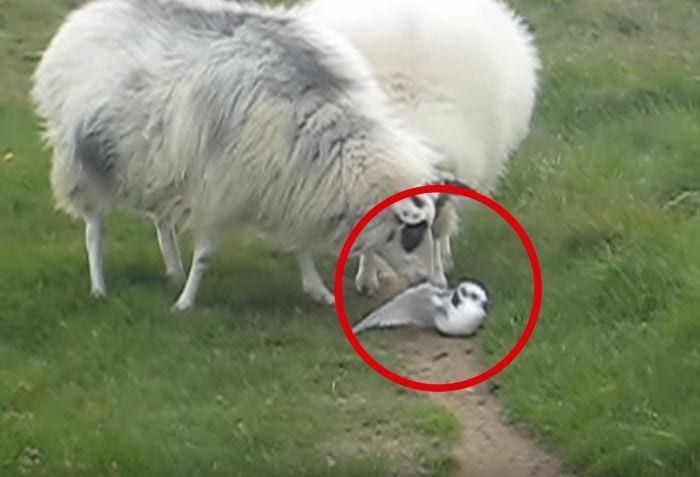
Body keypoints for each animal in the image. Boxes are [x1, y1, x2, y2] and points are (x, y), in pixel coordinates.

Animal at [31, 0, 449, 310]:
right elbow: (206, 253)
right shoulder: (222, 186)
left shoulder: (287, 183)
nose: (430, 284)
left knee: (161, 220)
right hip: (85, 160)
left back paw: (173, 270)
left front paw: (318, 290)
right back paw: (100, 287)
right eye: (412, 235)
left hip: (154, 163)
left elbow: (301, 244)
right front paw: (185, 304)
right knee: (94, 229)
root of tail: (81, 18)